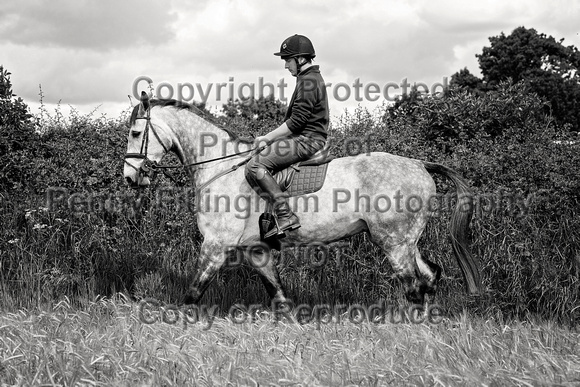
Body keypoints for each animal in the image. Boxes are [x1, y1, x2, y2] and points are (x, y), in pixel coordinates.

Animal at [124, 94, 482, 306]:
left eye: (135, 133)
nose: (130, 177)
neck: (220, 167)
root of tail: (419, 164)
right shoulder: (257, 250)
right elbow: (280, 298)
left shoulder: (215, 245)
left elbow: (192, 294)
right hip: (405, 241)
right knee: (429, 276)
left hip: (392, 242)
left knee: (413, 287)